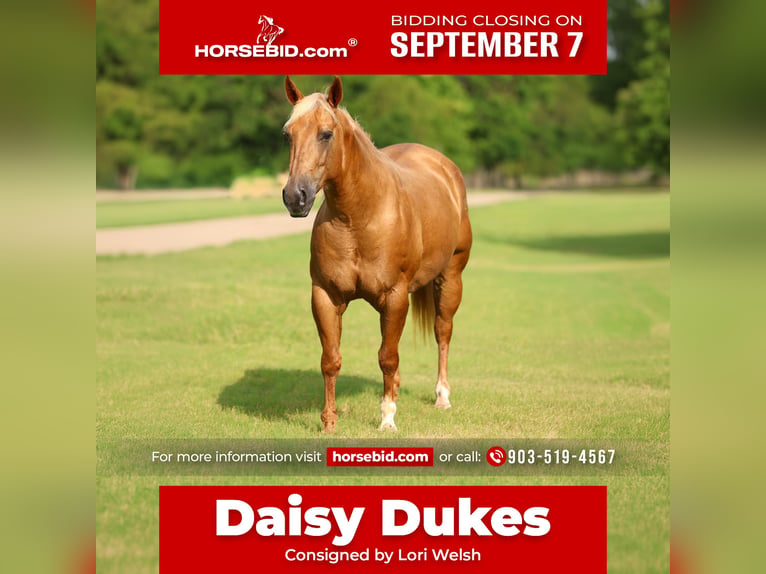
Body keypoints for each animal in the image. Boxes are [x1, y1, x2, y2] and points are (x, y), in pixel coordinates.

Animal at [281, 76, 472, 432]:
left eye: (326, 133)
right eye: (288, 134)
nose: (295, 197)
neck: (357, 219)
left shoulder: (394, 297)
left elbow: (387, 357)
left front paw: (387, 418)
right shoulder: (325, 296)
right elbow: (331, 359)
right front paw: (329, 422)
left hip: (450, 278)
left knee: (442, 332)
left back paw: (442, 396)